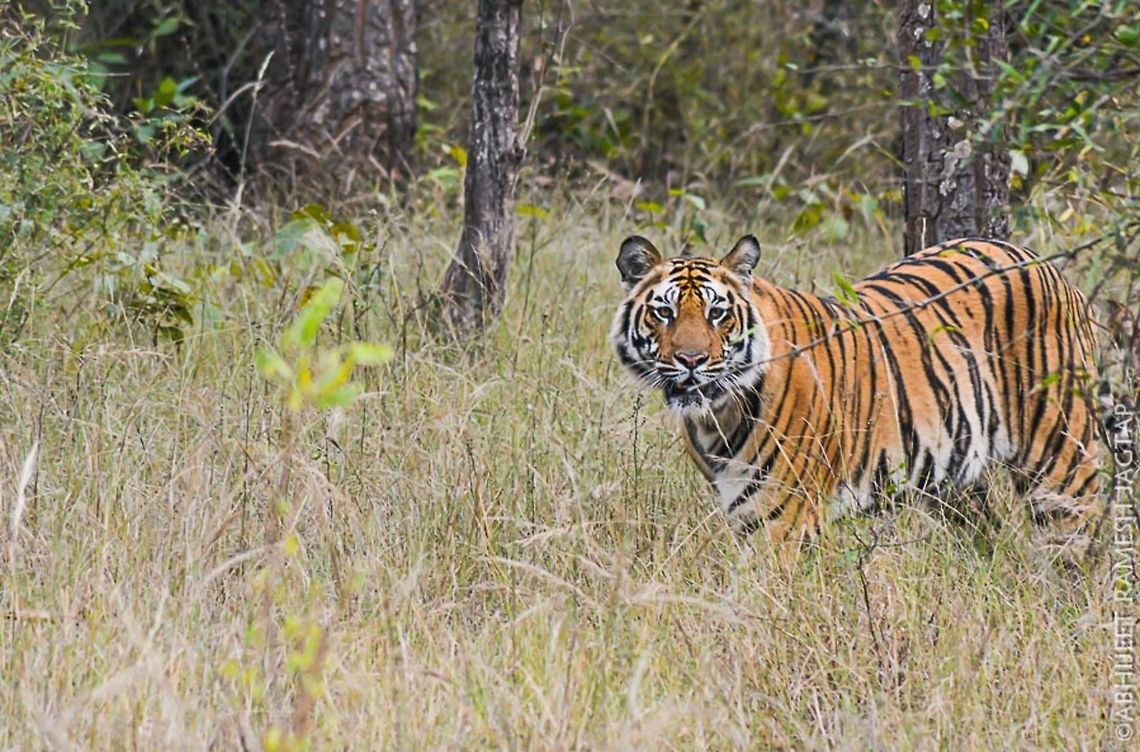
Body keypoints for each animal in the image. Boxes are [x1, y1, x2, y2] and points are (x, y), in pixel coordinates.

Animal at [610, 234, 1104, 559]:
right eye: (663, 312)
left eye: (718, 313)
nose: (690, 360)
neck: (717, 416)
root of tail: (1046, 265)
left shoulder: (782, 521)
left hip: (1062, 464)